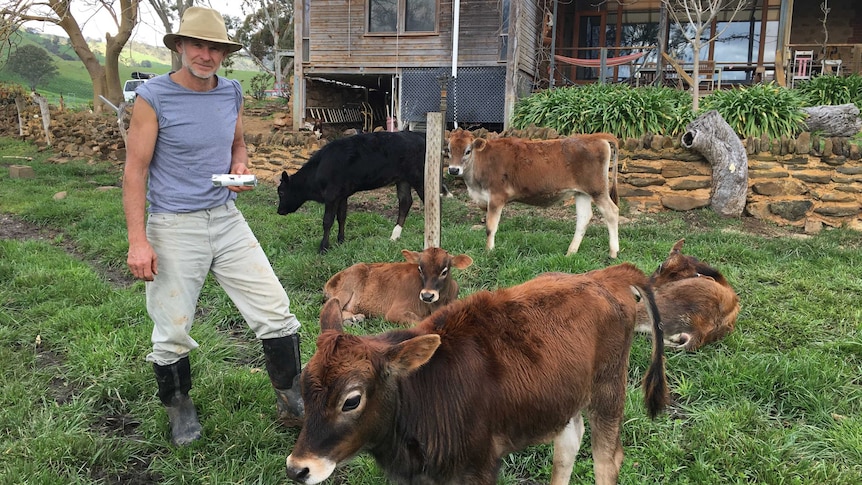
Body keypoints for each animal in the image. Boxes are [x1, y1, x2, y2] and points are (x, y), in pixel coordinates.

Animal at [286, 264, 672, 484]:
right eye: (302, 387)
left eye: (351, 400)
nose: (297, 468)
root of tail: (602, 276)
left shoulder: (480, 467)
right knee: (568, 444)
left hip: (609, 390)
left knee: (607, 459)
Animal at [324, 248, 476, 324]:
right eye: (420, 269)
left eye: (444, 271)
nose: (427, 296)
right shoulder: (395, 312)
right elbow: (420, 320)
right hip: (346, 287)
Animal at [446, 129, 620, 258]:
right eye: (448, 150)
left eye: (468, 151)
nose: (453, 170)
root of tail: (594, 136)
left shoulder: (496, 197)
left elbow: (490, 227)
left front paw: (489, 252)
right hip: (581, 192)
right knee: (584, 218)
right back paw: (570, 253)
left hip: (598, 190)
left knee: (611, 212)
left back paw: (613, 253)